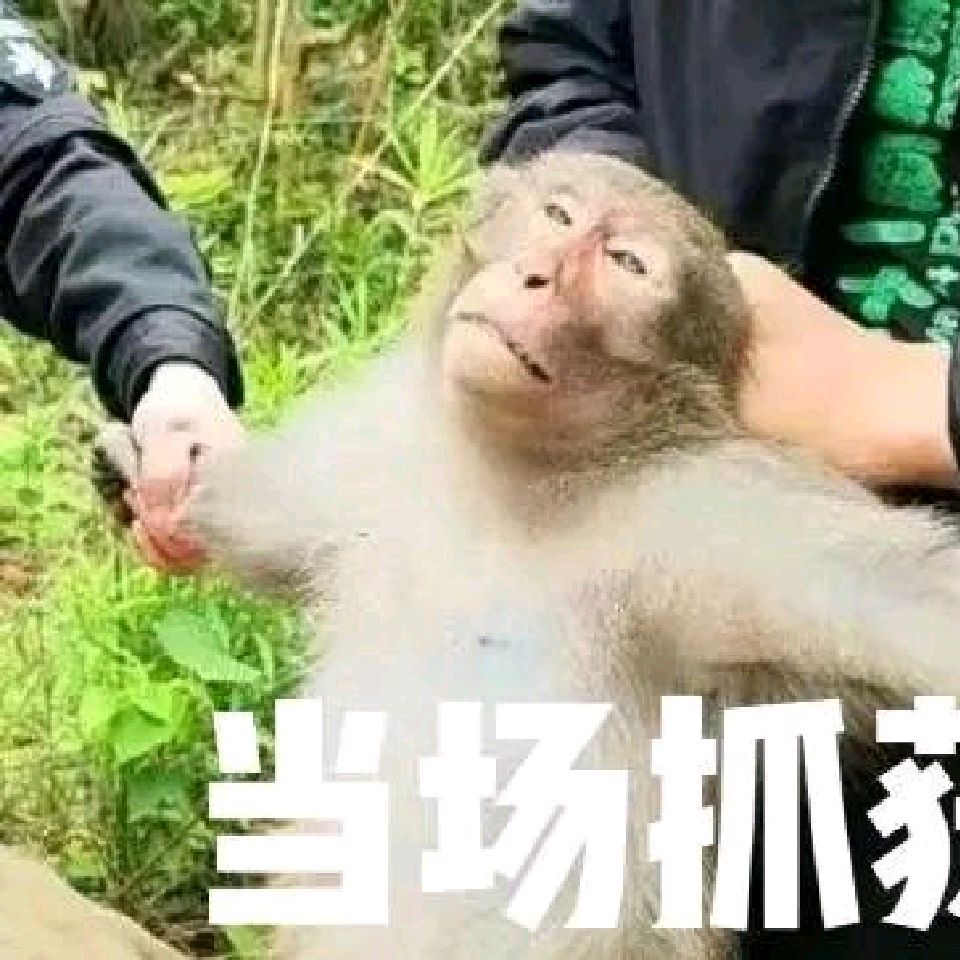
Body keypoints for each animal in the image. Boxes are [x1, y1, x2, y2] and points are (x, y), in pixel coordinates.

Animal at [95, 151, 960, 958]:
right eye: (557, 215)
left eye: (627, 265)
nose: (537, 274)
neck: (519, 477)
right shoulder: (382, 439)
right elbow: (263, 524)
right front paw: (159, 473)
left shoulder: (716, 521)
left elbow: (908, 607)